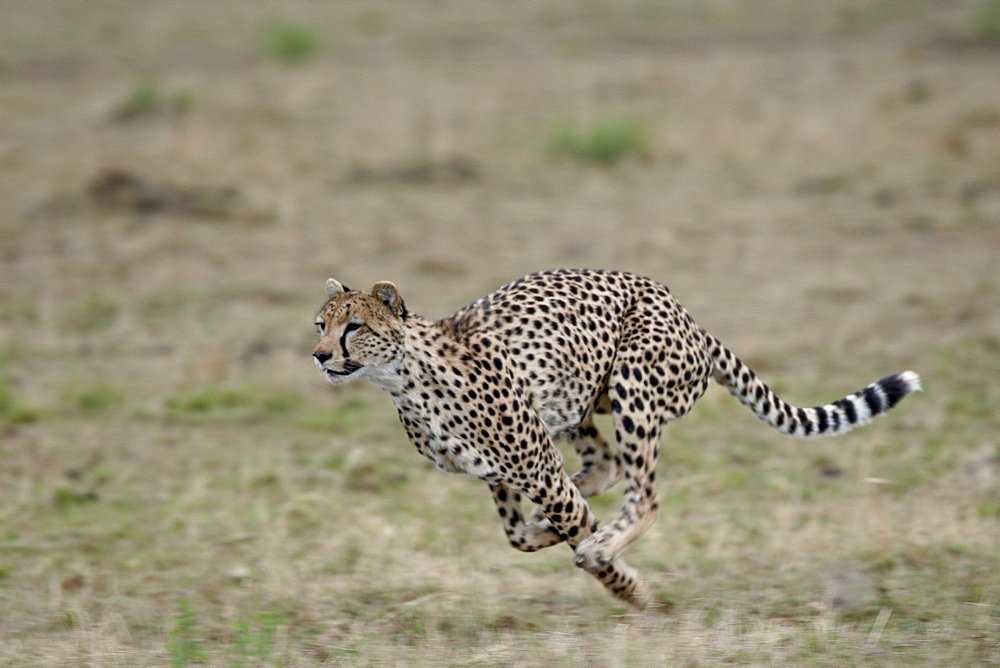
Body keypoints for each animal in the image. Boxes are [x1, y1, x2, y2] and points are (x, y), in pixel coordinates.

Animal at [312, 268, 920, 608]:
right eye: (322, 324)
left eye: (354, 327)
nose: (319, 355)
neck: (404, 378)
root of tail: (685, 311)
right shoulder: (498, 471)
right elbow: (519, 534)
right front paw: (553, 532)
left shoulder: (535, 467)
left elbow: (572, 528)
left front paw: (631, 590)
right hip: (580, 397)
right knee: (603, 467)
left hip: (633, 388)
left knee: (643, 495)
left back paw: (605, 543)